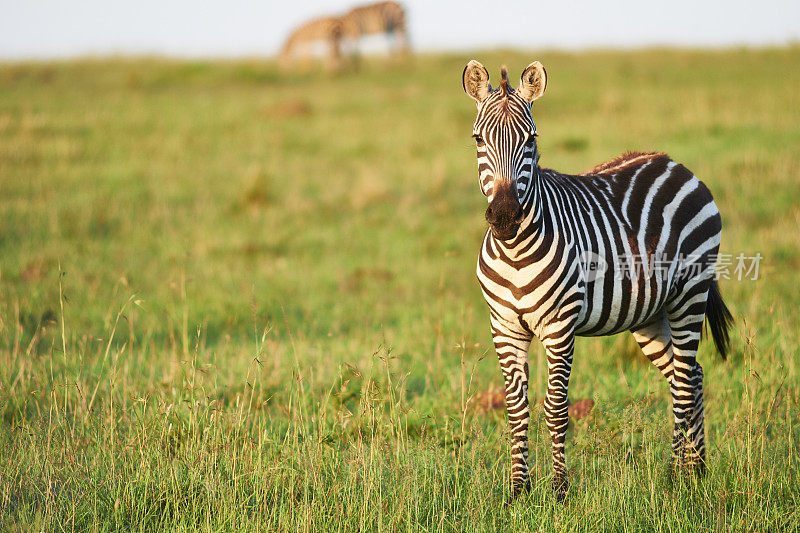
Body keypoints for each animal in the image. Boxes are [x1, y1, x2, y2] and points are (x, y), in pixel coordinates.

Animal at [460, 60, 736, 500]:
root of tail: (673, 163)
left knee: (682, 382)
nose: (504, 216)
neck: (515, 251)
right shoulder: (504, 328)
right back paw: (697, 471)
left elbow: (556, 408)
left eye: (531, 140)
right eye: (477, 139)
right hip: (650, 313)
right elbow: (516, 410)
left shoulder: (560, 326)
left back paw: (675, 477)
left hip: (689, 294)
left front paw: (559, 492)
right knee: (692, 376)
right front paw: (518, 491)